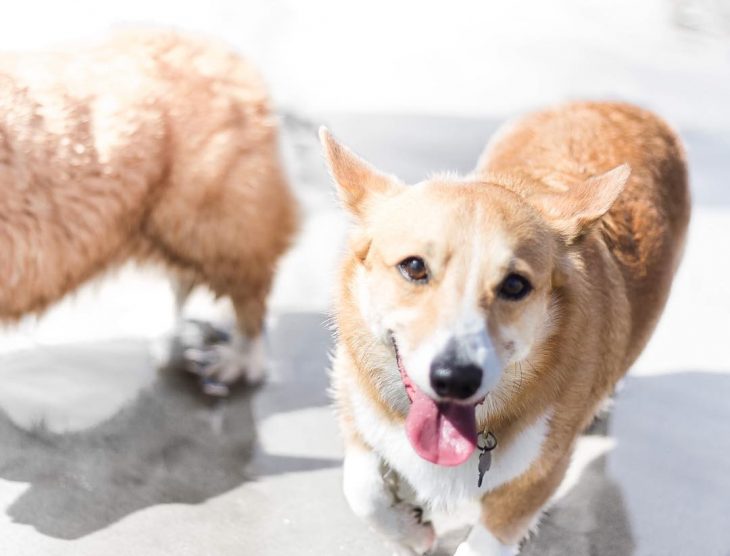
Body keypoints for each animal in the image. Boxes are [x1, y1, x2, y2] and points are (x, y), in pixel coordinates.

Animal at [322, 102, 688, 552]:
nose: (456, 379)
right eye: (414, 267)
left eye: (515, 286)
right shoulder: (360, 414)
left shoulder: (534, 481)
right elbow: (363, 491)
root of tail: (619, 105)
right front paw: (412, 530)